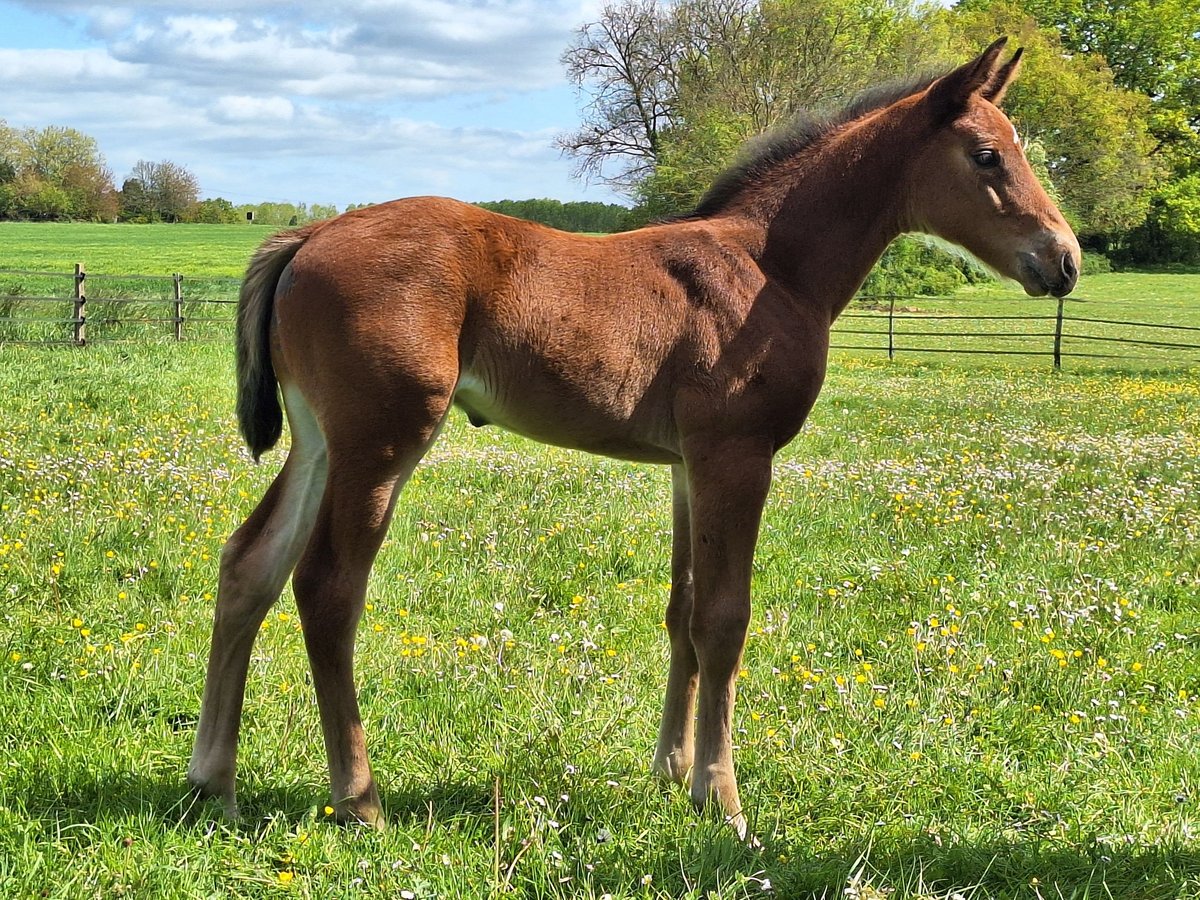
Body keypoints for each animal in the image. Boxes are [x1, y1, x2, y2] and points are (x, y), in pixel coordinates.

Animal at [184, 38, 1080, 844]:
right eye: (987, 156)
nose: (1065, 259)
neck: (769, 267)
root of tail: (306, 237)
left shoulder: (688, 466)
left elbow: (681, 612)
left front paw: (672, 772)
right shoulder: (736, 458)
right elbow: (724, 618)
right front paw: (723, 799)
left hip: (319, 442)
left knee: (250, 564)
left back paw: (211, 785)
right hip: (382, 441)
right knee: (327, 588)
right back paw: (360, 800)